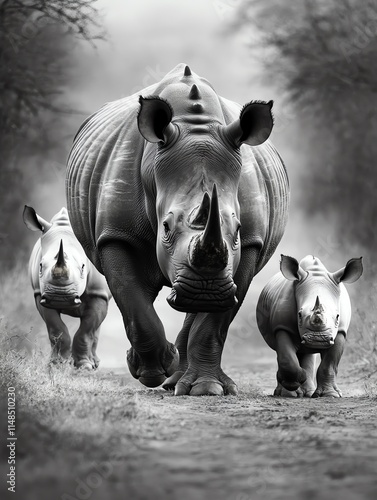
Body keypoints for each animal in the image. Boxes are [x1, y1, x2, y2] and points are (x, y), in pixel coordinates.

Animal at [23, 205, 111, 370]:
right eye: (40, 266)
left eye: (83, 267)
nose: (59, 297)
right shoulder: (40, 295)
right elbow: (57, 329)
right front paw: (57, 365)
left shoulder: (98, 293)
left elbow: (86, 331)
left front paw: (84, 367)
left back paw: (94, 363)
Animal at [67, 62, 288, 394]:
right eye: (166, 227)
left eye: (237, 230)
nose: (205, 290)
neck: (196, 125)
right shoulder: (115, 235)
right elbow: (132, 299)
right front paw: (153, 371)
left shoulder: (250, 243)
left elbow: (215, 322)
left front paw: (206, 388)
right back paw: (167, 374)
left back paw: (179, 380)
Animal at [256, 256, 362, 396]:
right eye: (299, 315)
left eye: (337, 316)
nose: (318, 339)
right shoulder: (282, 326)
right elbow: (287, 358)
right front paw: (293, 384)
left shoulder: (340, 331)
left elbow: (329, 364)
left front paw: (331, 395)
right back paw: (286, 393)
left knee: (307, 352)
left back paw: (308, 393)